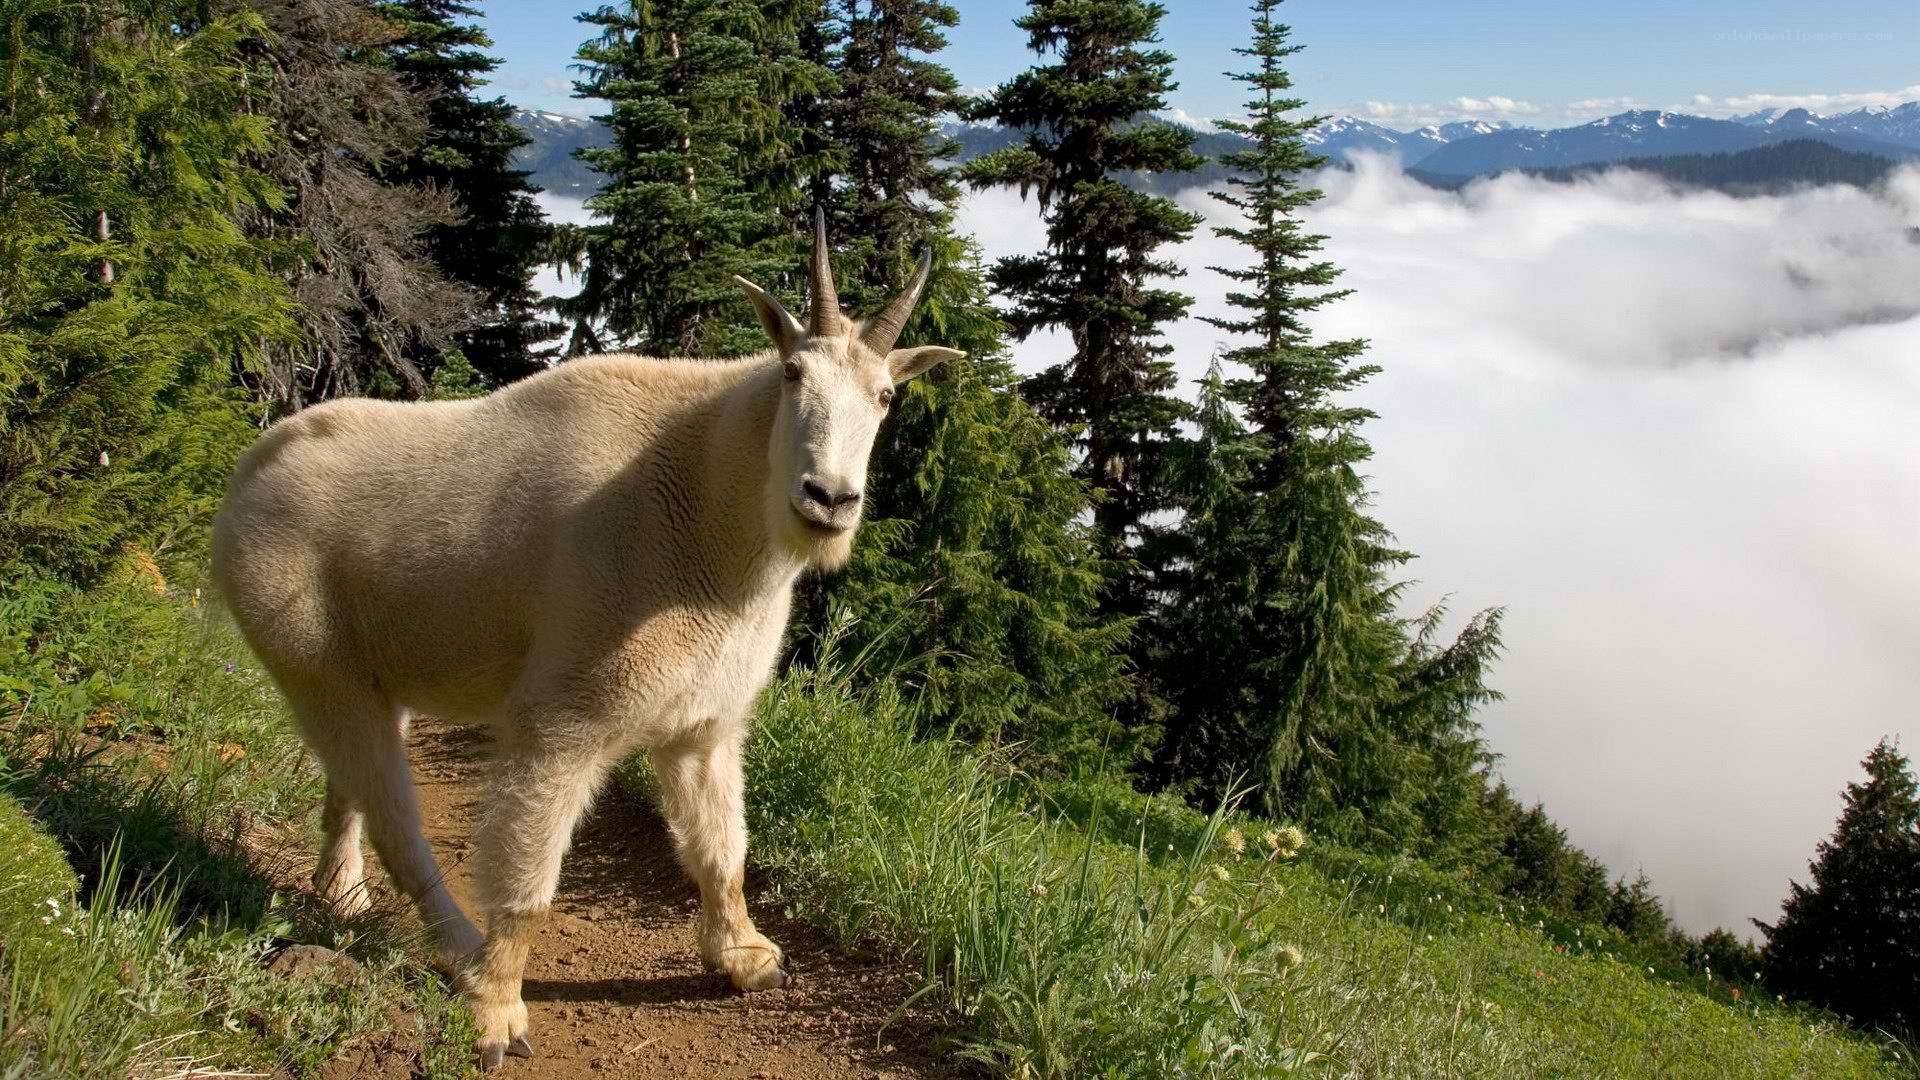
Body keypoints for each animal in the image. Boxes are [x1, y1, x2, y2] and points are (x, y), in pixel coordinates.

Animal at [210, 212, 962, 1068]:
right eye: (792, 374)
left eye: (886, 395)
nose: (829, 498)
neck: (716, 510)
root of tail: (247, 474)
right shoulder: (564, 720)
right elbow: (529, 883)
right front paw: (496, 1013)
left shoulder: (703, 726)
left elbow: (723, 851)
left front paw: (746, 958)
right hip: (310, 659)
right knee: (395, 815)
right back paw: (457, 952)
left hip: (375, 670)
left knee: (351, 785)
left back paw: (342, 897)